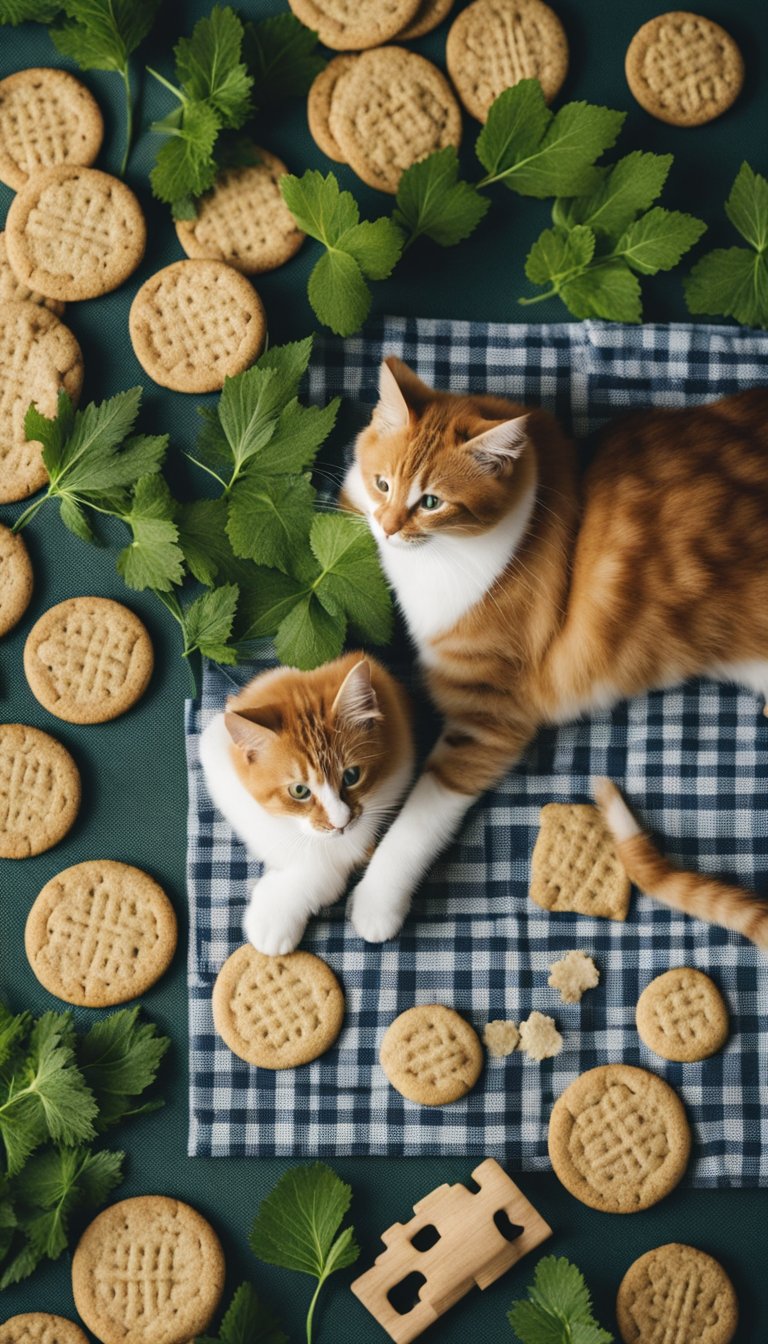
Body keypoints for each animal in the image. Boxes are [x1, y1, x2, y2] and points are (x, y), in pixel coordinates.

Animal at [342, 360, 768, 946]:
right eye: (383, 483)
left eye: (431, 502)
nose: (387, 529)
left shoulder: (490, 717)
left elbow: (419, 815)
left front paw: (377, 900)